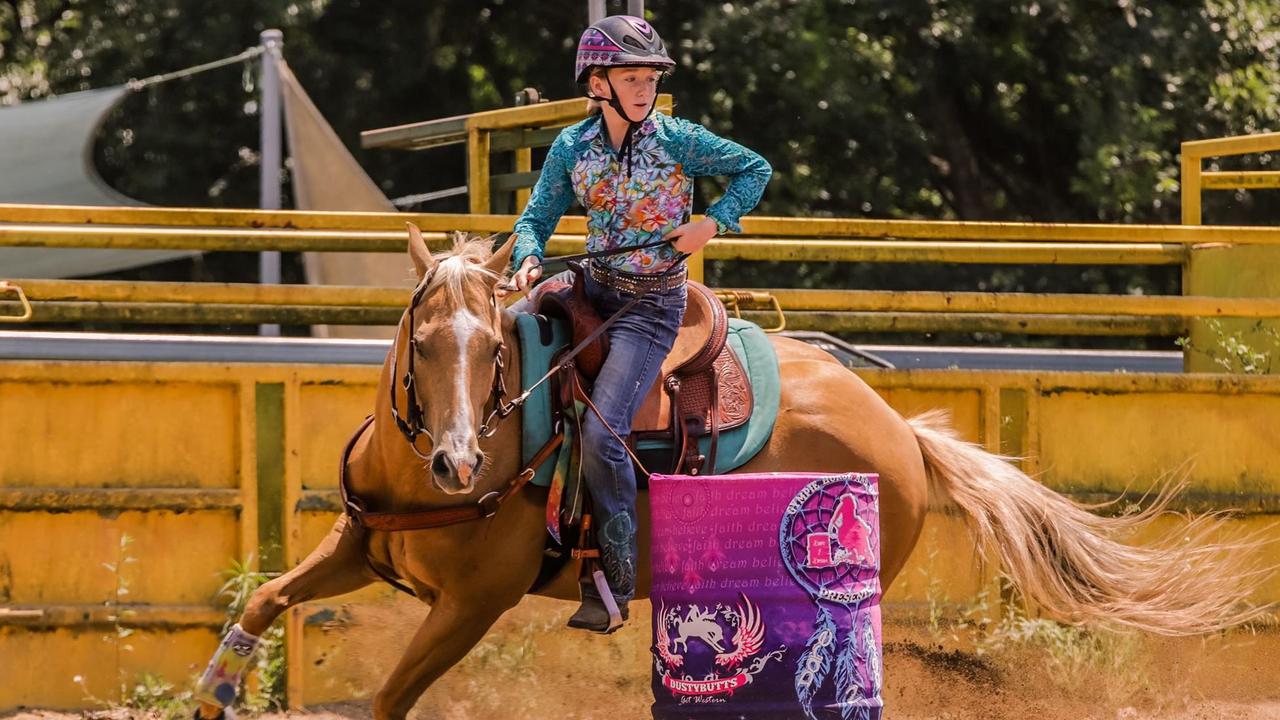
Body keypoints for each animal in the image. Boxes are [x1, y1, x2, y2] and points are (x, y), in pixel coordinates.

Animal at [197, 228, 1259, 717]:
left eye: (495, 350)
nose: (458, 462)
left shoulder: (471, 606)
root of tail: (904, 435)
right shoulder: (361, 546)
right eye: (421, 344)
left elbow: (386, 698)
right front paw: (217, 687)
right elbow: (265, 601)